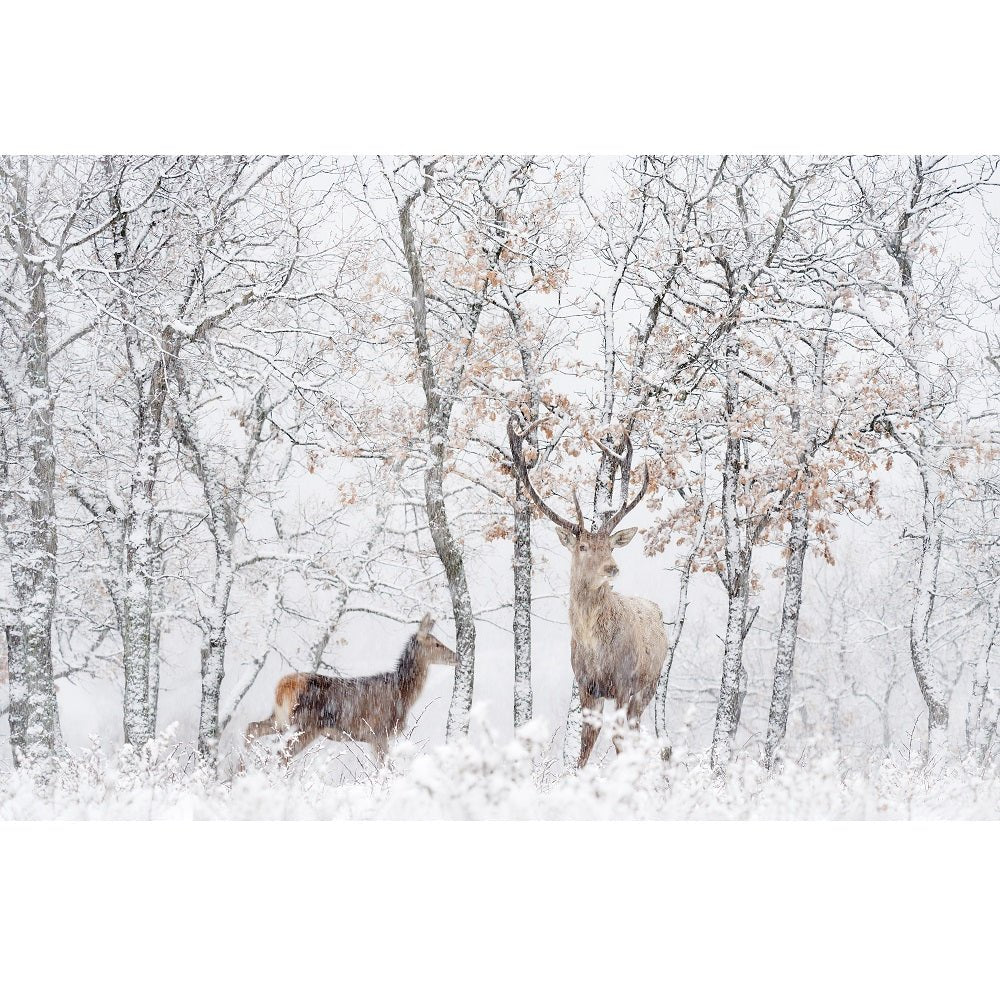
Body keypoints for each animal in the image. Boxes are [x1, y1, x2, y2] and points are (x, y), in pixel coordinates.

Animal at [244, 614, 457, 765]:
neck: (403, 694)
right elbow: (385, 768)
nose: (456, 656)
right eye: (437, 644)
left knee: (253, 727)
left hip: (281, 719)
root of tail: (283, 686)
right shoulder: (378, 731)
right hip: (305, 724)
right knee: (282, 753)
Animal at [508, 416, 668, 768]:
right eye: (583, 546)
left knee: (634, 730)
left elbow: (618, 739)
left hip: (649, 684)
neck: (596, 648)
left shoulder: (622, 680)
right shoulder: (585, 684)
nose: (612, 567)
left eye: (610, 545)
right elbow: (585, 744)